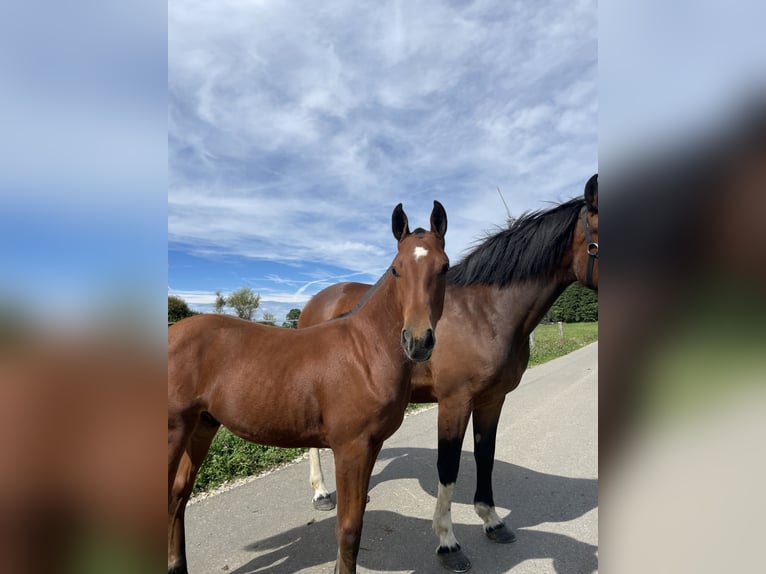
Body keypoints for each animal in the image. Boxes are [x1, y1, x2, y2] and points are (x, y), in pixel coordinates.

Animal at [170, 202, 450, 574]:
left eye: (444, 267)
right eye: (395, 270)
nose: (417, 342)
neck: (364, 351)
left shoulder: (371, 446)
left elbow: (356, 521)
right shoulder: (350, 448)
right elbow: (348, 528)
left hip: (202, 425)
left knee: (178, 494)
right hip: (174, 429)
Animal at [300, 178, 600, 572]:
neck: (485, 312)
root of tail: (317, 301)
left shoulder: (492, 399)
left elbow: (485, 455)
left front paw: (492, 521)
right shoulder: (454, 401)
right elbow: (449, 465)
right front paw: (448, 542)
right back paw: (321, 493)